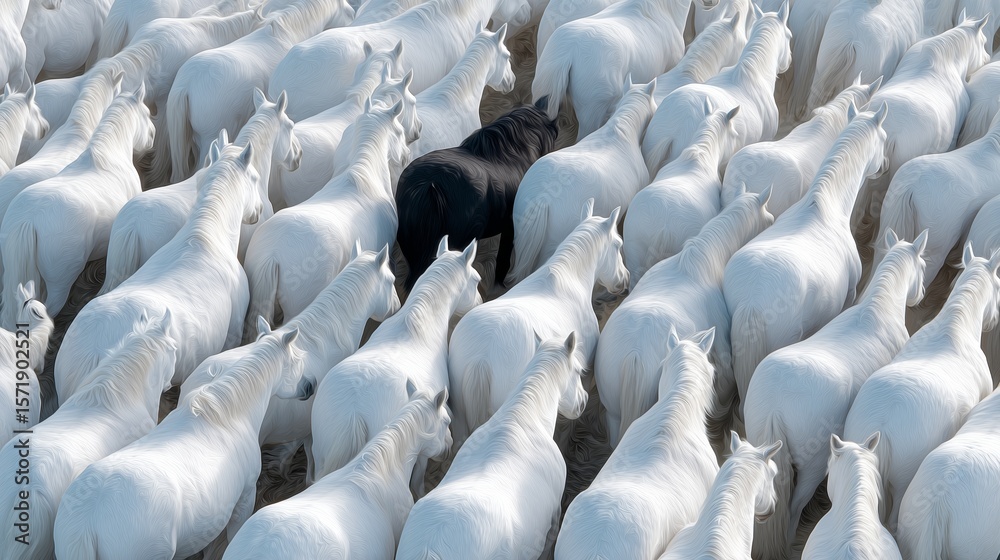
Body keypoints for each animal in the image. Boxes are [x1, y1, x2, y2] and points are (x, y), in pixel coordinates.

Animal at [310, 238, 481, 492]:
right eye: (476, 280)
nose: (479, 302)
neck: (417, 328)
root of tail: (352, 413)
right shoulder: (422, 442)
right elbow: (418, 477)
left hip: (320, 452)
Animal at [743, 230, 927, 560]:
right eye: (923, 264)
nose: (920, 295)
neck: (877, 309)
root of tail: (777, 405)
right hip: (814, 465)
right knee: (793, 506)